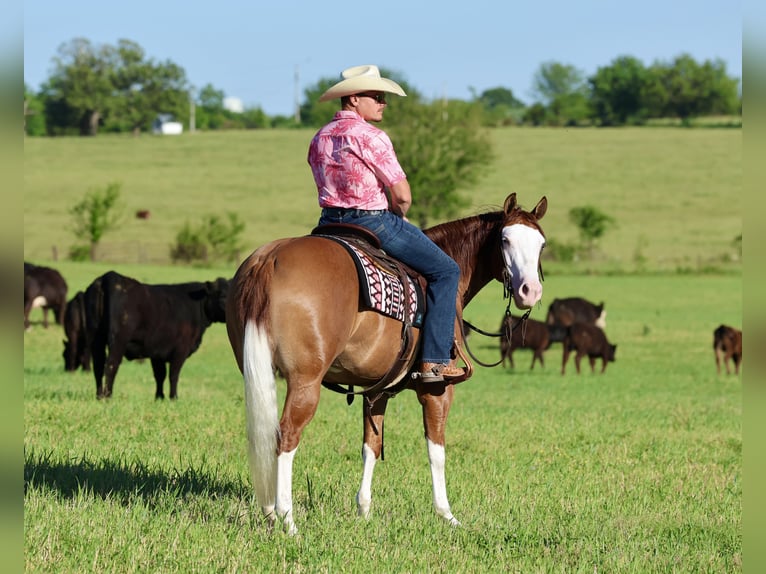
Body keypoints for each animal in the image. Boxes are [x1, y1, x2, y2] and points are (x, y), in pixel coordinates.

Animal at [226, 193, 547, 534]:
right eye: (505, 239)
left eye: (541, 244)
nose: (530, 291)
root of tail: (269, 259)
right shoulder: (437, 390)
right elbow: (436, 450)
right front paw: (446, 514)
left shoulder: (375, 390)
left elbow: (371, 445)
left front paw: (364, 509)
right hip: (305, 382)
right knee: (285, 436)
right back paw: (287, 519)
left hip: (258, 374)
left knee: (261, 434)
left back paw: (269, 512)